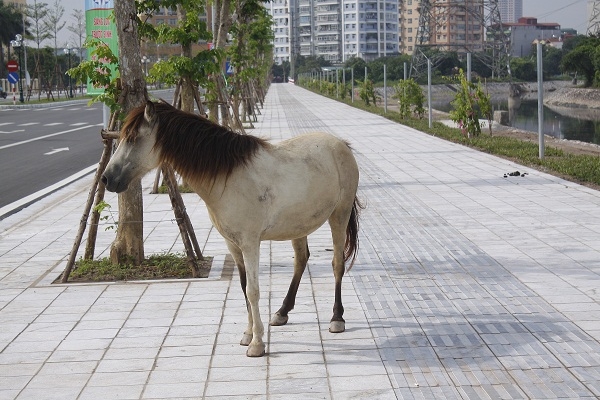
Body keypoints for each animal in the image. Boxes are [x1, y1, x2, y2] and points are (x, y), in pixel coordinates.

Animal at [102, 100, 360, 356]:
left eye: (133, 138)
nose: (106, 179)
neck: (229, 177)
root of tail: (341, 145)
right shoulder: (233, 245)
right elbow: (244, 288)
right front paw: (247, 335)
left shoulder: (250, 243)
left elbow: (253, 291)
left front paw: (257, 344)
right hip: (298, 225)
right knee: (301, 260)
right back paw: (282, 312)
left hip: (340, 214)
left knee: (337, 264)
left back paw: (337, 318)